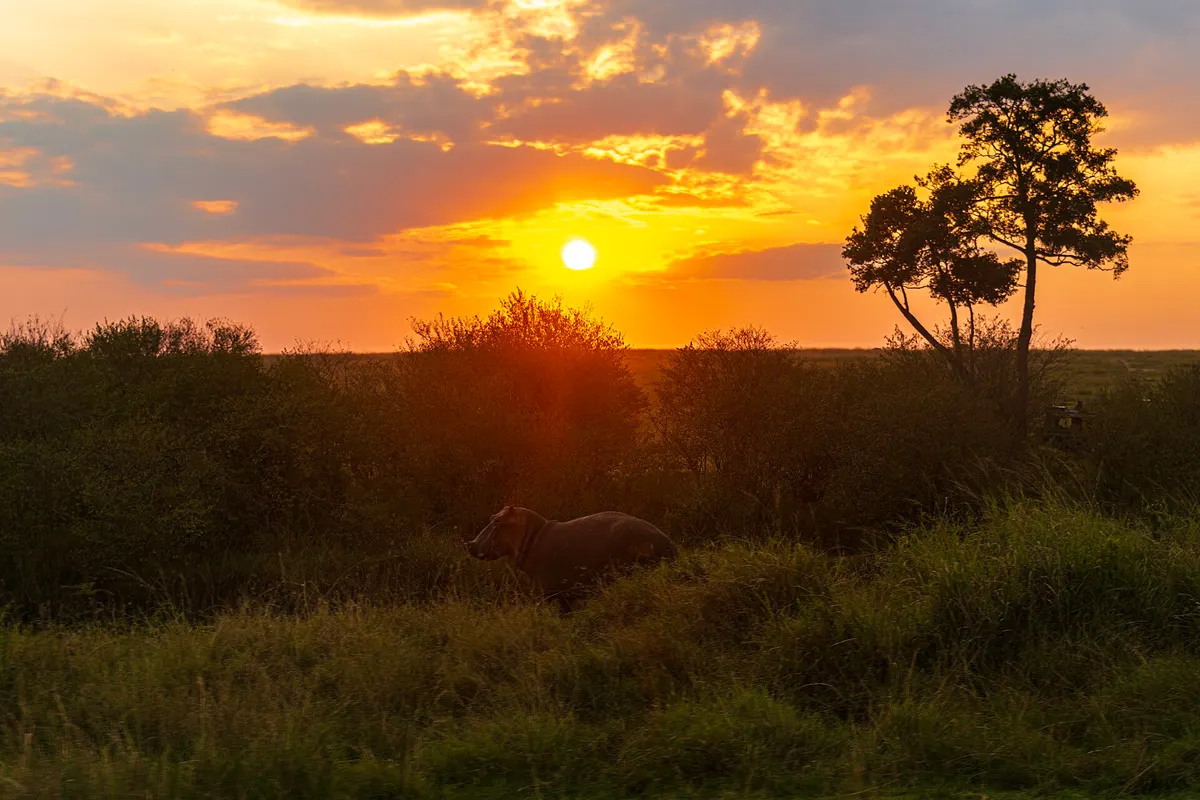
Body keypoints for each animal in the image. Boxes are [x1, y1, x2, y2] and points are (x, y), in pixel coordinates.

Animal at [466, 506, 678, 611]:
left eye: (496, 521)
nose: (469, 543)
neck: (532, 536)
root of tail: (668, 542)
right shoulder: (565, 595)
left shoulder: (545, 592)